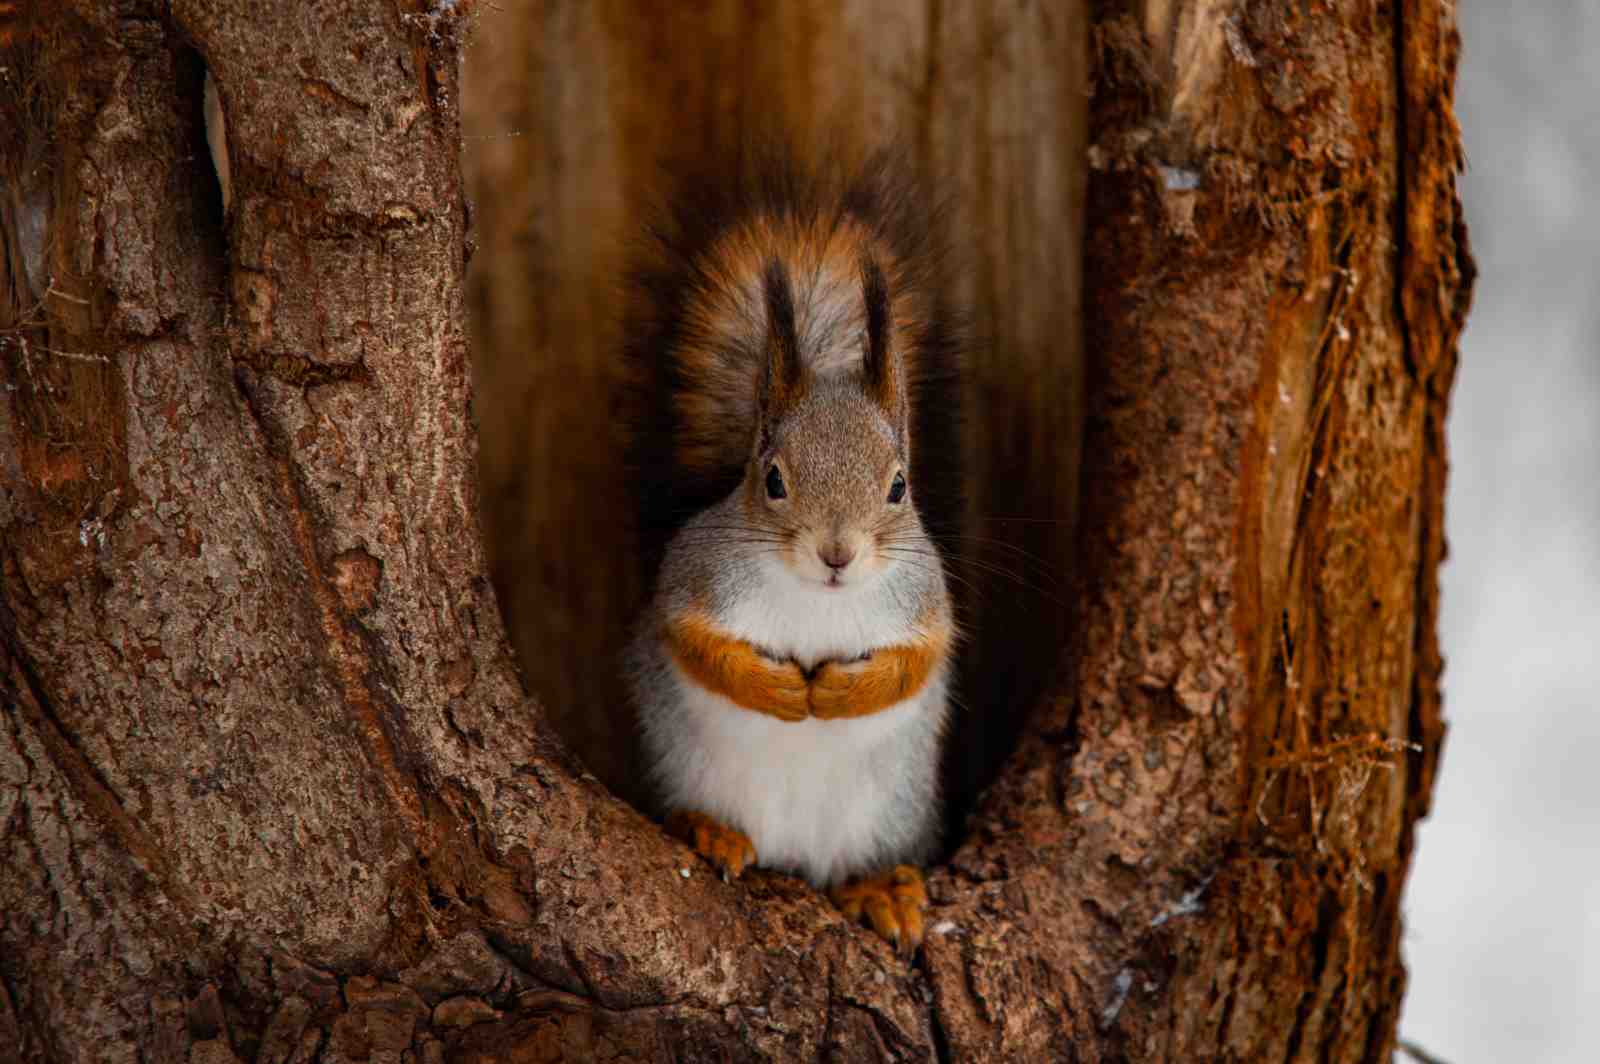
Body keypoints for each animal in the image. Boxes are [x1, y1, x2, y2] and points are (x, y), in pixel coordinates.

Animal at [623, 152, 964, 954]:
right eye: (773, 479)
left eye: (899, 485)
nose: (837, 554)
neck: (819, 600)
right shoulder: (697, 579)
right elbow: (697, 643)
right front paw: (780, 691)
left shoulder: (925, 601)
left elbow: (914, 662)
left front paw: (837, 693)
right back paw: (709, 830)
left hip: (888, 815)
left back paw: (879, 888)